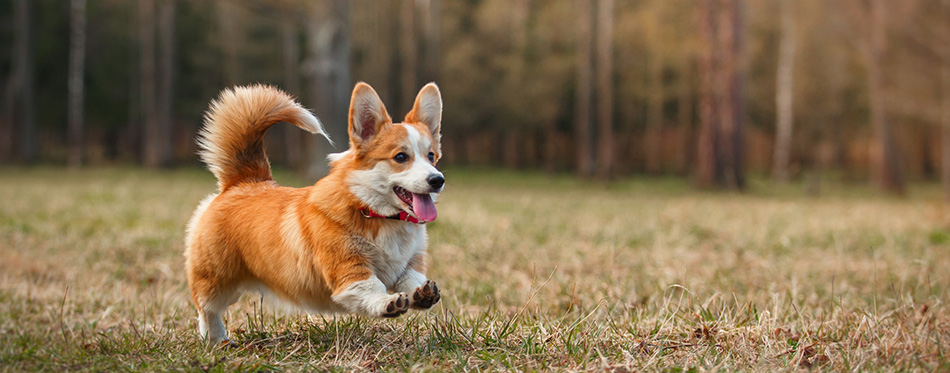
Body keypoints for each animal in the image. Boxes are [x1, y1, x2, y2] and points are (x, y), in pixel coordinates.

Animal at [185, 83, 446, 344]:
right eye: (400, 157)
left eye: (431, 156)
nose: (437, 180)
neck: (377, 213)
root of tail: (243, 181)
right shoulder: (348, 267)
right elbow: (371, 286)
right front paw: (387, 302)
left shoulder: (410, 263)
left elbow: (411, 279)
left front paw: (422, 294)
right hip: (216, 280)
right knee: (206, 308)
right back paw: (216, 340)